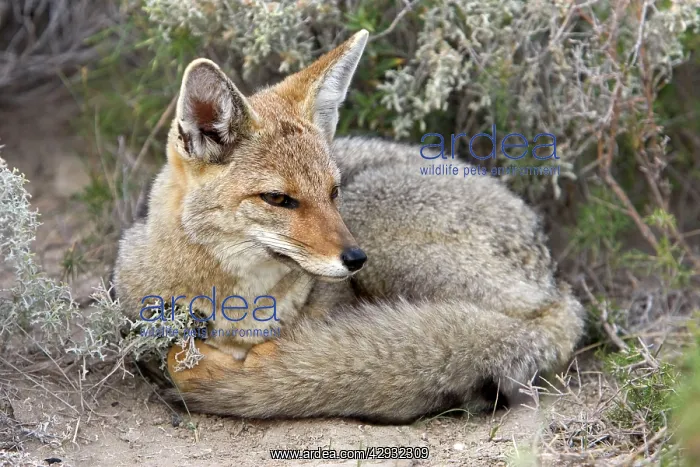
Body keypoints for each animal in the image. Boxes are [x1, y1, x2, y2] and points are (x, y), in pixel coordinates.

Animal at [113, 29, 586, 423]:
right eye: (277, 199)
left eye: (332, 191)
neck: (238, 307)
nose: (355, 259)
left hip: (379, 224)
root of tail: (558, 286)